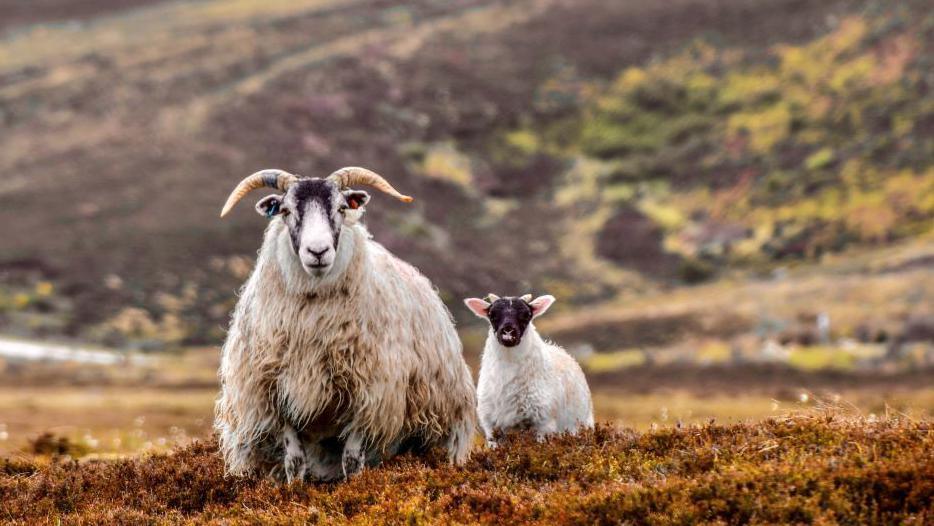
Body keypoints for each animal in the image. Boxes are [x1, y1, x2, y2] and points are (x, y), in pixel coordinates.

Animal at [212, 168, 476, 482]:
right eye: (286, 211)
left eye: (340, 208)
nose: (318, 251)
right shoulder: (274, 396)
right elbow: (294, 460)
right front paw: (293, 489)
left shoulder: (369, 396)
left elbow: (352, 459)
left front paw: (355, 486)